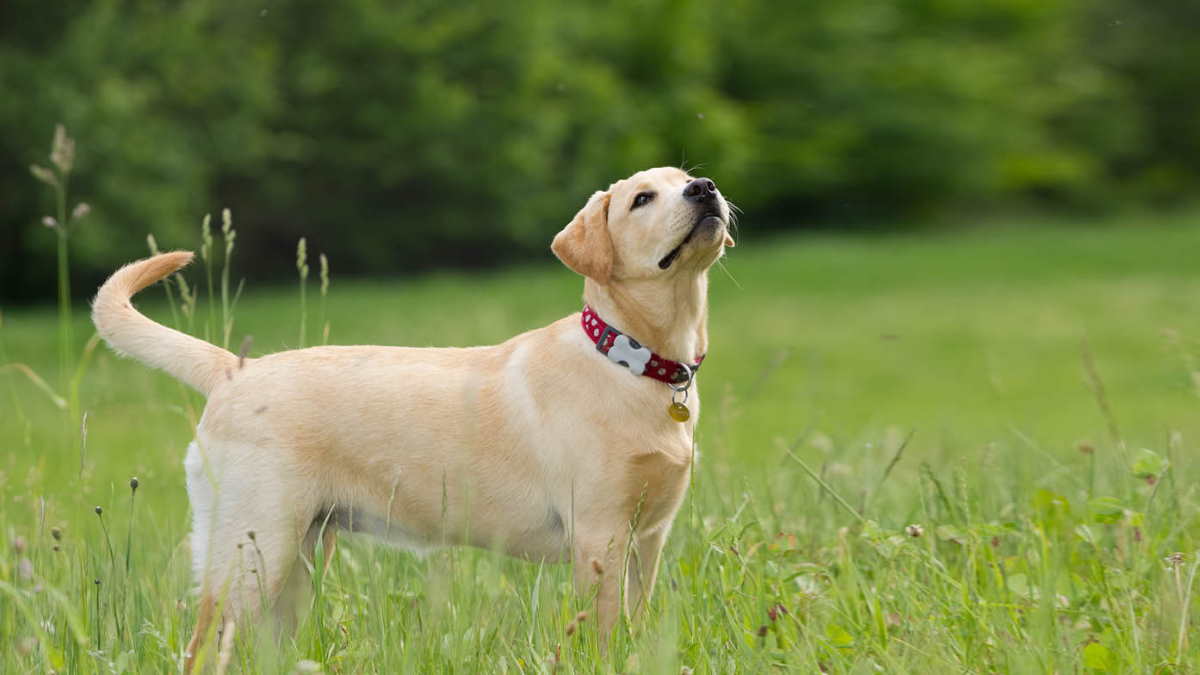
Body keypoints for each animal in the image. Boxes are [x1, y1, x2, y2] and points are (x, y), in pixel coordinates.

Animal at [91, 165, 729, 662]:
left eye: (688, 178)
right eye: (642, 198)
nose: (704, 188)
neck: (636, 362)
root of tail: (233, 369)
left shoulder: (649, 537)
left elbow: (637, 622)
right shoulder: (600, 537)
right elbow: (603, 632)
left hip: (296, 563)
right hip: (249, 555)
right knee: (200, 647)